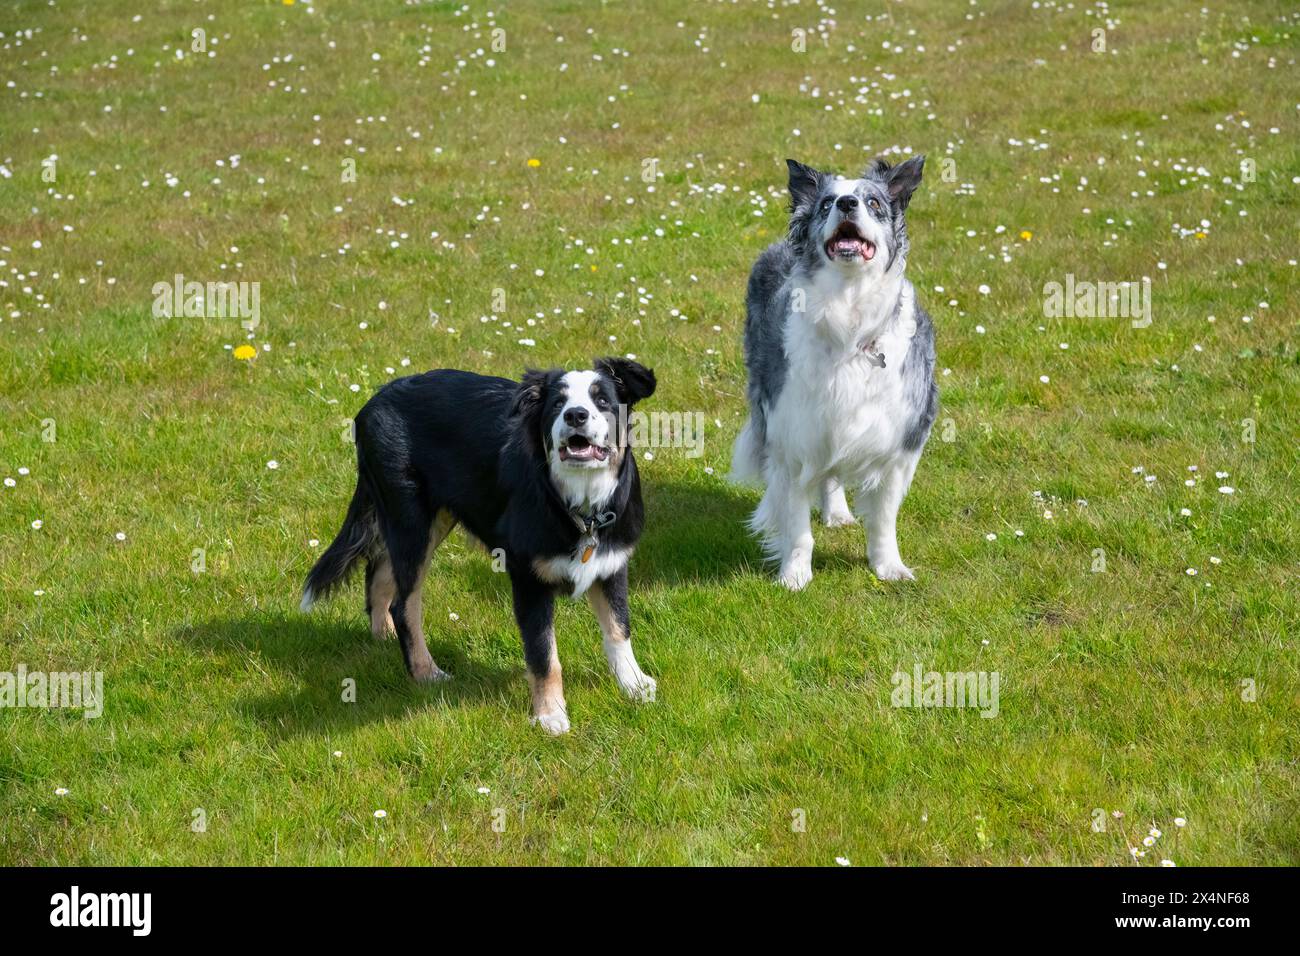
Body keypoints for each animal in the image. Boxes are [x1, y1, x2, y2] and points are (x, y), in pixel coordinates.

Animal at [304, 356, 660, 733]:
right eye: (557, 403)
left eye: (603, 400)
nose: (575, 415)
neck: (578, 503)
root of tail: (374, 401)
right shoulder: (527, 578)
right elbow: (544, 655)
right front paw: (550, 715)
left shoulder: (612, 564)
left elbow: (619, 629)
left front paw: (634, 685)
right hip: (410, 516)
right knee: (404, 604)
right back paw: (425, 672)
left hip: (429, 517)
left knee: (379, 574)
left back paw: (382, 638)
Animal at [733, 155, 935, 590]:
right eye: (826, 204)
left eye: (874, 203)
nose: (845, 203)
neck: (849, 312)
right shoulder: (793, 435)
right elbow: (797, 526)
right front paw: (794, 576)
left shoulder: (898, 444)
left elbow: (883, 521)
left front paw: (888, 567)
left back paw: (838, 512)